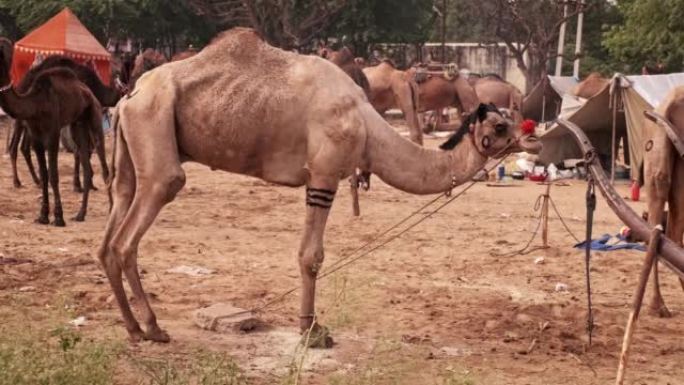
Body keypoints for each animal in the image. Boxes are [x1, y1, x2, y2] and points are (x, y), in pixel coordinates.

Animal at [0, 37, 107, 224]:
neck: (35, 103)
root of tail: (90, 94)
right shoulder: (36, 136)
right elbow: (44, 175)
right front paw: (43, 216)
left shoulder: (53, 133)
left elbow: (53, 174)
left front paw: (58, 218)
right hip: (78, 125)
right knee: (86, 166)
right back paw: (80, 214)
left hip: (94, 116)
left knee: (103, 160)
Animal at [8, 54, 118, 190]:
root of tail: (22, 84)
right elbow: (80, 150)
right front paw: (79, 184)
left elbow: (86, 149)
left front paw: (89, 183)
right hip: (23, 118)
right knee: (15, 147)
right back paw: (17, 181)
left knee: (24, 147)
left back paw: (37, 181)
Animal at [99, 28, 544, 344]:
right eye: (499, 125)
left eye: (510, 119)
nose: (534, 139)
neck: (366, 125)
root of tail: (129, 96)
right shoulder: (324, 175)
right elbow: (311, 256)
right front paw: (312, 330)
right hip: (155, 133)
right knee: (130, 234)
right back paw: (153, 328)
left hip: (132, 151)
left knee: (110, 233)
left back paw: (133, 328)